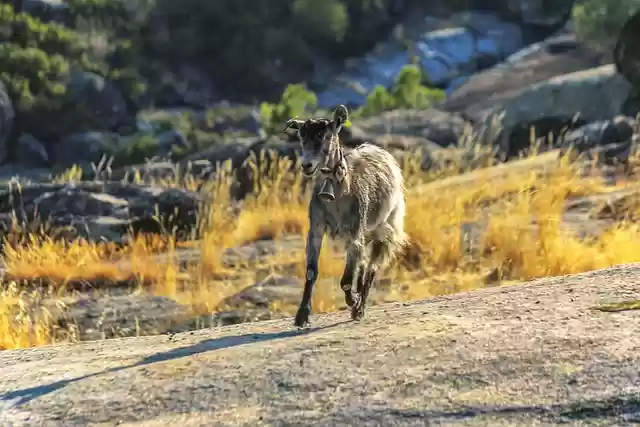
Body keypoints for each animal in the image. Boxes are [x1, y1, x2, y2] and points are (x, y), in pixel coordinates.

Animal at [283, 105, 407, 327]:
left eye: (325, 135)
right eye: (301, 136)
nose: (306, 165)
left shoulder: (354, 232)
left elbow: (346, 280)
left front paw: (353, 301)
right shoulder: (316, 230)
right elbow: (311, 272)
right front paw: (302, 316)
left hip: (387, 228)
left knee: (372, 268)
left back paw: (359, 308)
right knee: (364, 264)